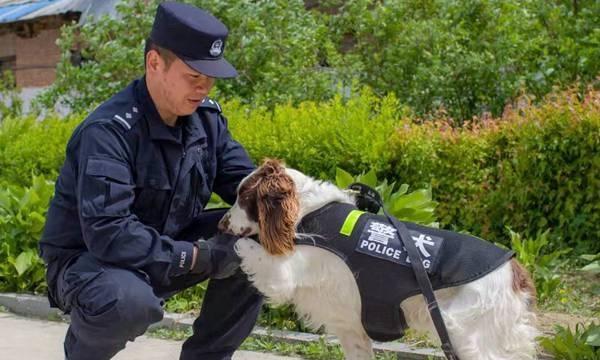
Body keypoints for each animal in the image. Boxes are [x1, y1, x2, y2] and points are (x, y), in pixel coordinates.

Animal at [218, 160, 536, 360]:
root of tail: (514, 269)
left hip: (467, 334)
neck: (306, 211)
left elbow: (245, 245)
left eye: (244, 196)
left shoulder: (283, 273)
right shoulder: (351, 328)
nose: (221, 223)